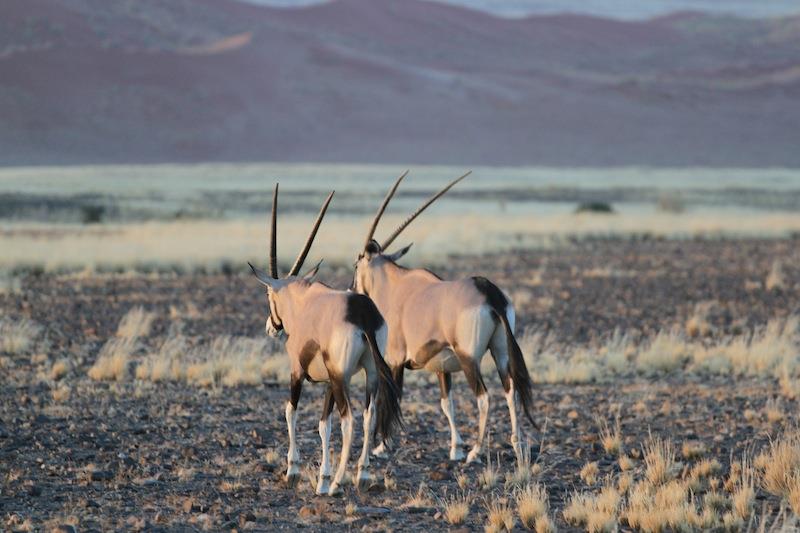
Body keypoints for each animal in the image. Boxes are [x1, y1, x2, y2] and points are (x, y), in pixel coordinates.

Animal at [248, 184, 400, 494]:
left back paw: (339, 483)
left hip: (343, 378)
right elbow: (323, 425)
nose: (272, 328)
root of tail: (362, 314)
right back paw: (362, 476)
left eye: (268, 294)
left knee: (349, 420)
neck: (301, 301)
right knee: (368, 416)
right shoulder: (329, 381)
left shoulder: (298, 372)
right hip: (369, 374)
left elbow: (291, 412)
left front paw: (294, 471)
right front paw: (322, 478)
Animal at [352, 174, 536, 462]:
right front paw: (455, 448)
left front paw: (382, 446)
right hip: (500, 351)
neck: (393, 286)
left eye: (355, 264)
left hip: (470, 358)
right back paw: (516, 445)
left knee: (484, 398)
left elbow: (391, 398)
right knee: (510, 390)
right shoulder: (441, 367)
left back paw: (476, 451)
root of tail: (489, 292)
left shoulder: (394, 360)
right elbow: (446, 403)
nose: (352, 289)